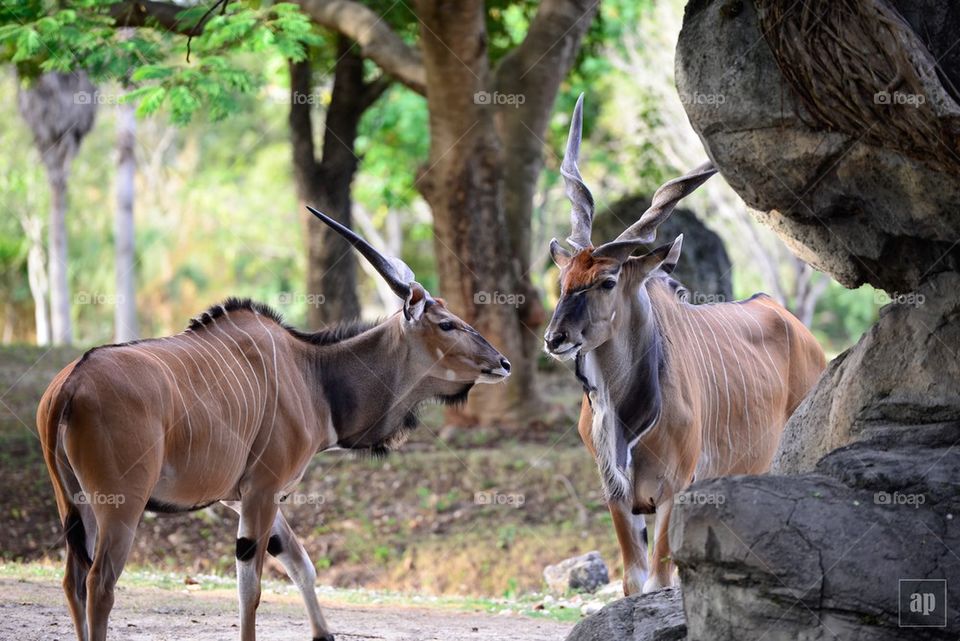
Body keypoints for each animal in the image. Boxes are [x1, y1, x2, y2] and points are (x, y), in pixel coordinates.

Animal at [37, 206, 510, 640]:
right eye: (446, 324)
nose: (502, 363)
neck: (312, 374)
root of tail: (70, 386)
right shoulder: (262, 491)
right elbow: (252, 589)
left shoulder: (245, 496)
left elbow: (302, 565)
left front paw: (324, 633)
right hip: (121, 507)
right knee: (100, 584)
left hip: (75, 504)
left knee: (72, 581)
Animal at [548, 95, 824, 596]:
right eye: (563, 280)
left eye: (608, 280)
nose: (555, 338)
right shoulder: (617, 495)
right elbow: (633, 582)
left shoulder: (673, 491)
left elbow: (659, 581)